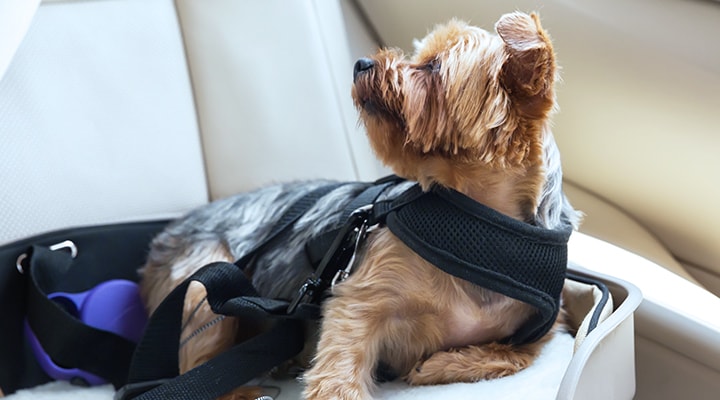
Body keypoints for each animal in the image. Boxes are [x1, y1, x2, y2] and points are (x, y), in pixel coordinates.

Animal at [138, 11, 584, 400]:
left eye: (433, 67)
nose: (362, 62)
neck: (476, 222)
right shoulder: (359, 299)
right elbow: (340, 367)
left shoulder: (546, 326)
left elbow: (519, 355)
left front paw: (439, 365)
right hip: (201, 287)